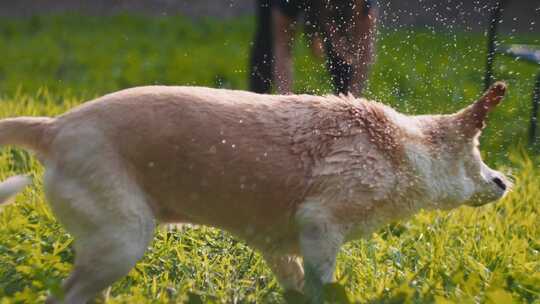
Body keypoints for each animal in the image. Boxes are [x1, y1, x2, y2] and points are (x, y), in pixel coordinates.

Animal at [0, 82, 508, 302]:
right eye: (478, 152)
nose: (505, 180)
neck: (403, 147)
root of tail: (56, 126)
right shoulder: (320, 227)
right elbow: (322, 287)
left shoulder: (277, 248)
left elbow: (296, 288)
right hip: (123, 240)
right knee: (63, 297)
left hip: (109, 252)